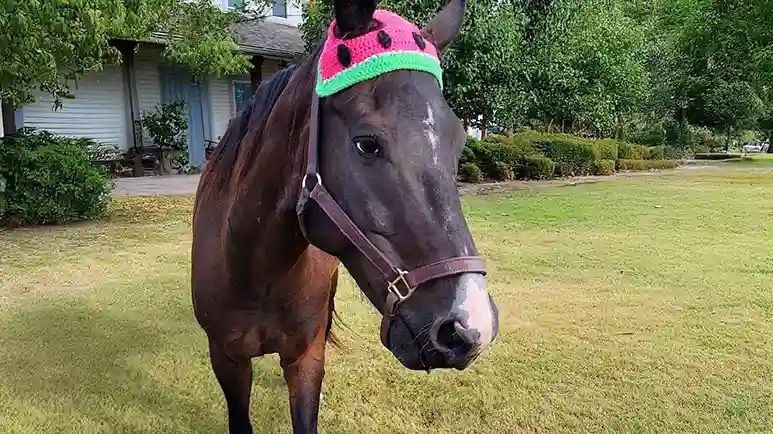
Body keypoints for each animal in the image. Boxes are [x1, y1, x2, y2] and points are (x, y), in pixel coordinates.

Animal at [191, 0, 498, 432]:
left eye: (457, 142)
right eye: (367, 144)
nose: (469, 328)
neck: (255, 267)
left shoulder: (305, 358)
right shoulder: (227, 360)